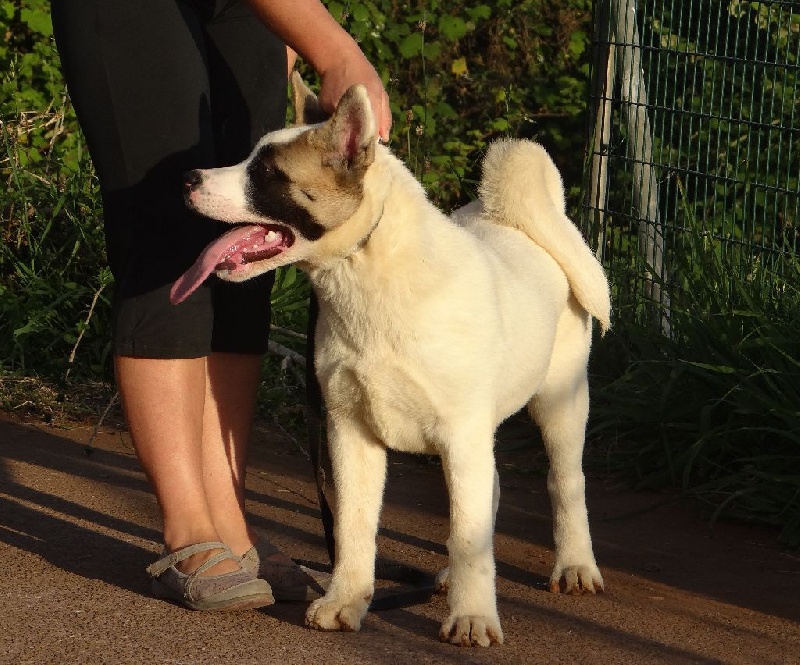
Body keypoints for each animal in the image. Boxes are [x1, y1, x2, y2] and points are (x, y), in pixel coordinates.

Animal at [172, 75, 608, 644]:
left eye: (266, 173)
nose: (187, 179)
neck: (368, 274)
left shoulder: (461, 436)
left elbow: (467, 535)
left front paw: (473, 616)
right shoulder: (351, 432)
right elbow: (355, 527)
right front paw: (346, 600)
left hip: (561, 404)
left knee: (565, 483)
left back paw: (575, 565)